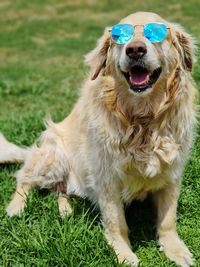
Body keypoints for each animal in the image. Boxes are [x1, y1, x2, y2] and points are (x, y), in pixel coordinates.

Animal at [0, 12, 197, 267]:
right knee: (24, 178)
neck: (142, 120)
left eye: (156, 33)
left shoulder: (172, 173)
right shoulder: (107, 179)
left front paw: (176, 250)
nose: (135, 50)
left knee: (59, 189)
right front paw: (124, 253)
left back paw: (65, 210)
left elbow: (168, 220)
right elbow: (117, 223)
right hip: (54, 156)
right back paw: (16, 207)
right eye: (120, 37)